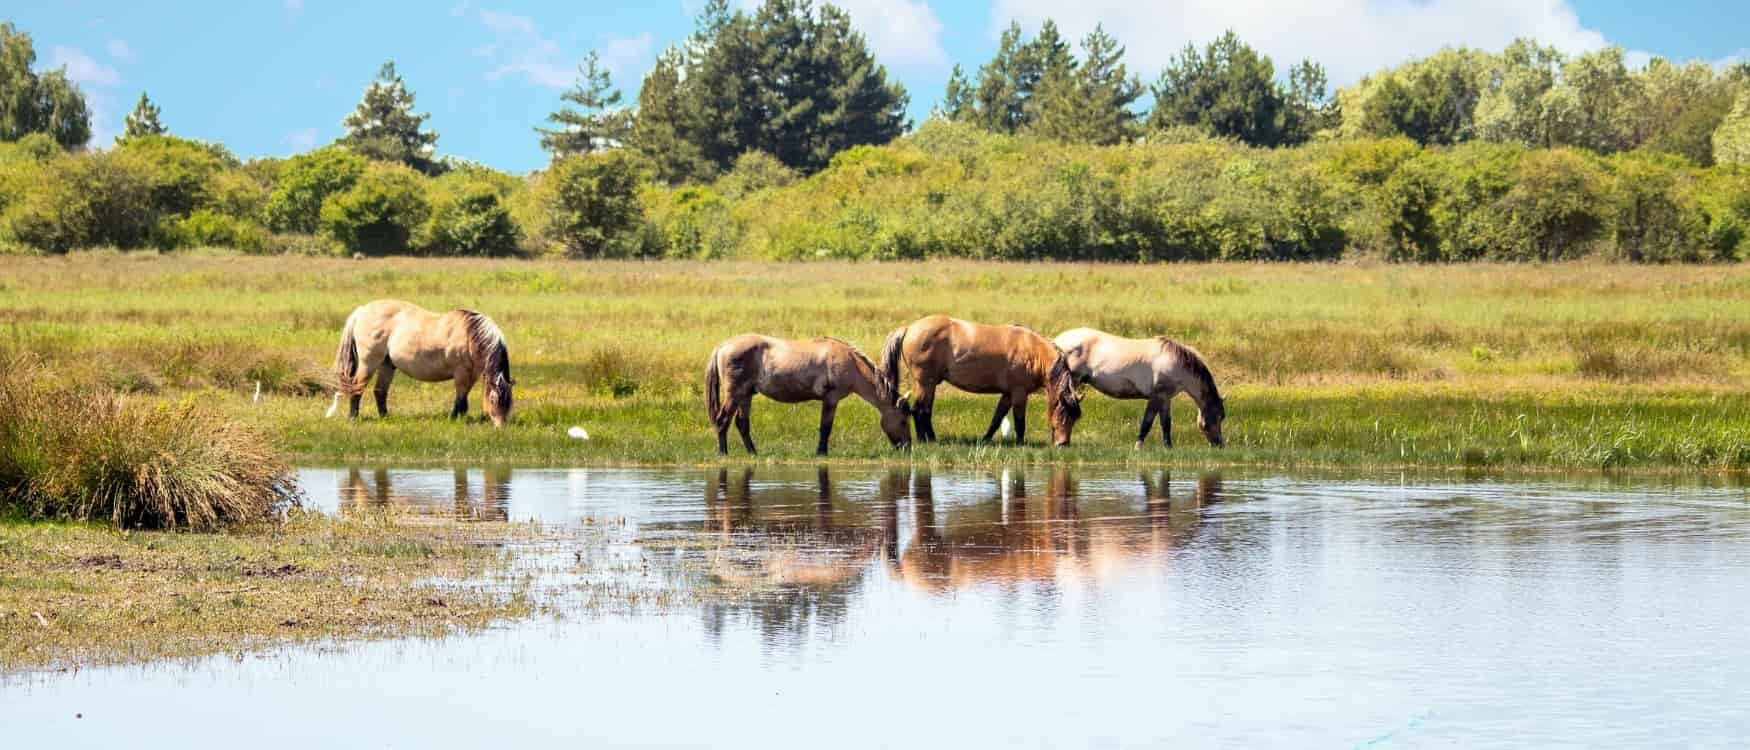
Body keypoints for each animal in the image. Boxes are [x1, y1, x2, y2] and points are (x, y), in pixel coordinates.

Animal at [323, 300, 514, 427]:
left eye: (509, 402)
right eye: (494, 399)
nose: (501, 426)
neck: (470, 335)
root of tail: (361, 311)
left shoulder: (472, 374)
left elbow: (463, 399)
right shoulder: (461, 373)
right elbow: (460, 400)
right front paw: (453, 420)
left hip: (387, 364)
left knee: (380, 392)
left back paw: (386, 417)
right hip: (368, 363)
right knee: (357, 388)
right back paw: (353, 418)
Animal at [704, 335, 911, 456]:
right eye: (903, 421)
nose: (907, 447)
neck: (851, 363)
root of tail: (723, 346)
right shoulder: (831, 398)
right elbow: (825, 428)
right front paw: (821, 452)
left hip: (745, 395)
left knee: (742, 424)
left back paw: (753, 453)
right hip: (734, 393)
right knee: (722, 420)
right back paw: (723, 453)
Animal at [880, 315, 1082, 446]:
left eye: (1075, 418)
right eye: (1064, 413)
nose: (1063, 444)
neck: (1032, 352)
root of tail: (909, 328)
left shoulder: (1008, 394)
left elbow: (997, 418)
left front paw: (985, 440)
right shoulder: (1019, 393)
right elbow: (1019, 420)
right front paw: (1020, 443)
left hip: (929, 385)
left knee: (924, 410)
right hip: (926, 383)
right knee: (920, 410)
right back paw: (927, 441)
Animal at [1052, 328, 1224, 447]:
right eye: (1218, 417)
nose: (1219, 444)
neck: (1175, 362)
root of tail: (1057, 340)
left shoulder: (1165, 398)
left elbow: (1166, 424)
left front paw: (1168, 447)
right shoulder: (1156, 396)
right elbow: (1147, 422)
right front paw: (1138, 446)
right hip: (1071, 382)